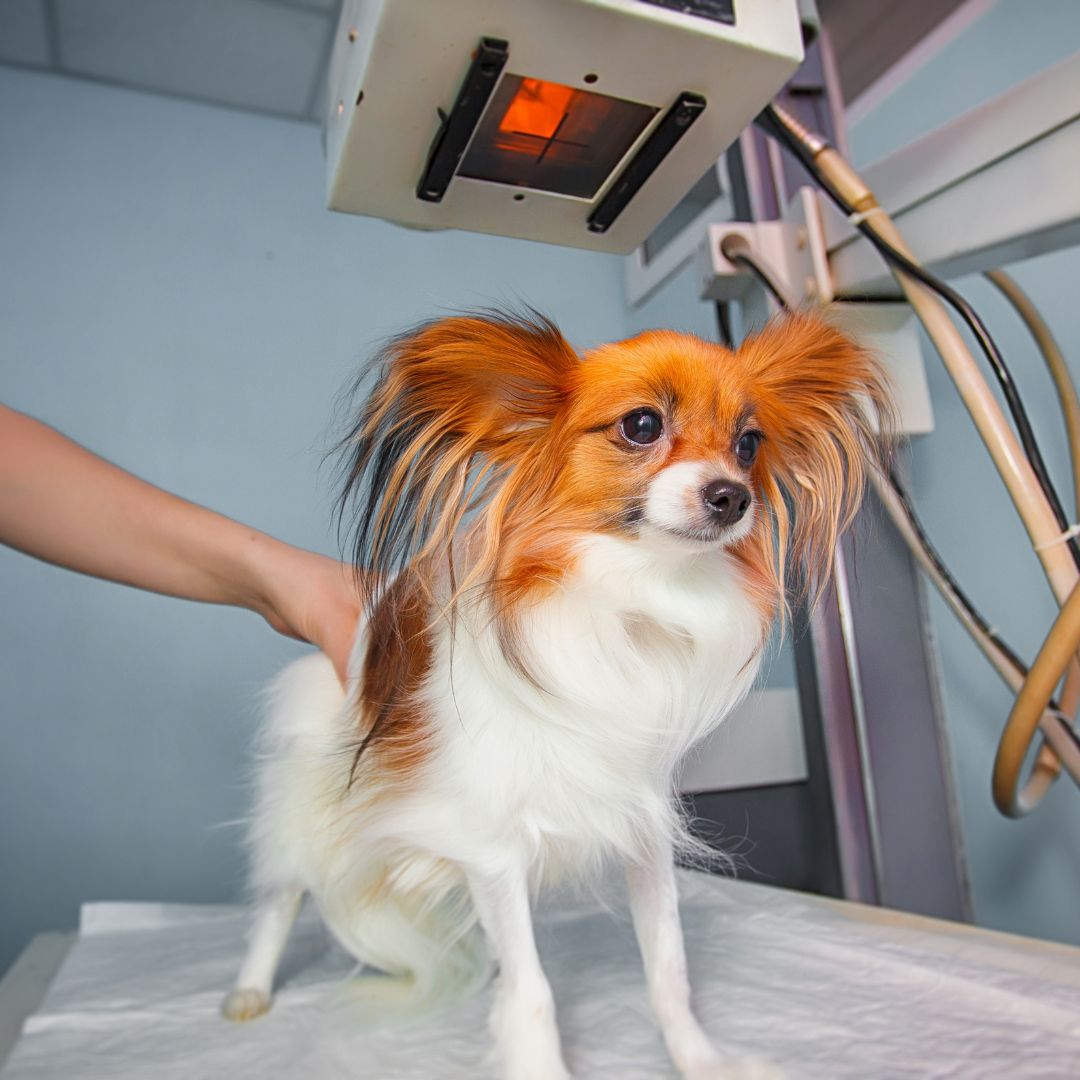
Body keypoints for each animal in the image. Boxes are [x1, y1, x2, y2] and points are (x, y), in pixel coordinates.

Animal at [221, 308, 894, 1075]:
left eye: (749, 444)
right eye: (641, 425)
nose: (733, 495)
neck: (632, 598)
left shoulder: (641, 831)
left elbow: (668, 971)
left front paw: (701, 1060)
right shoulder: (492, 852)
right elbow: (533, 990)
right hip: (304, 808)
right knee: (280, 898)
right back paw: (250, 989)